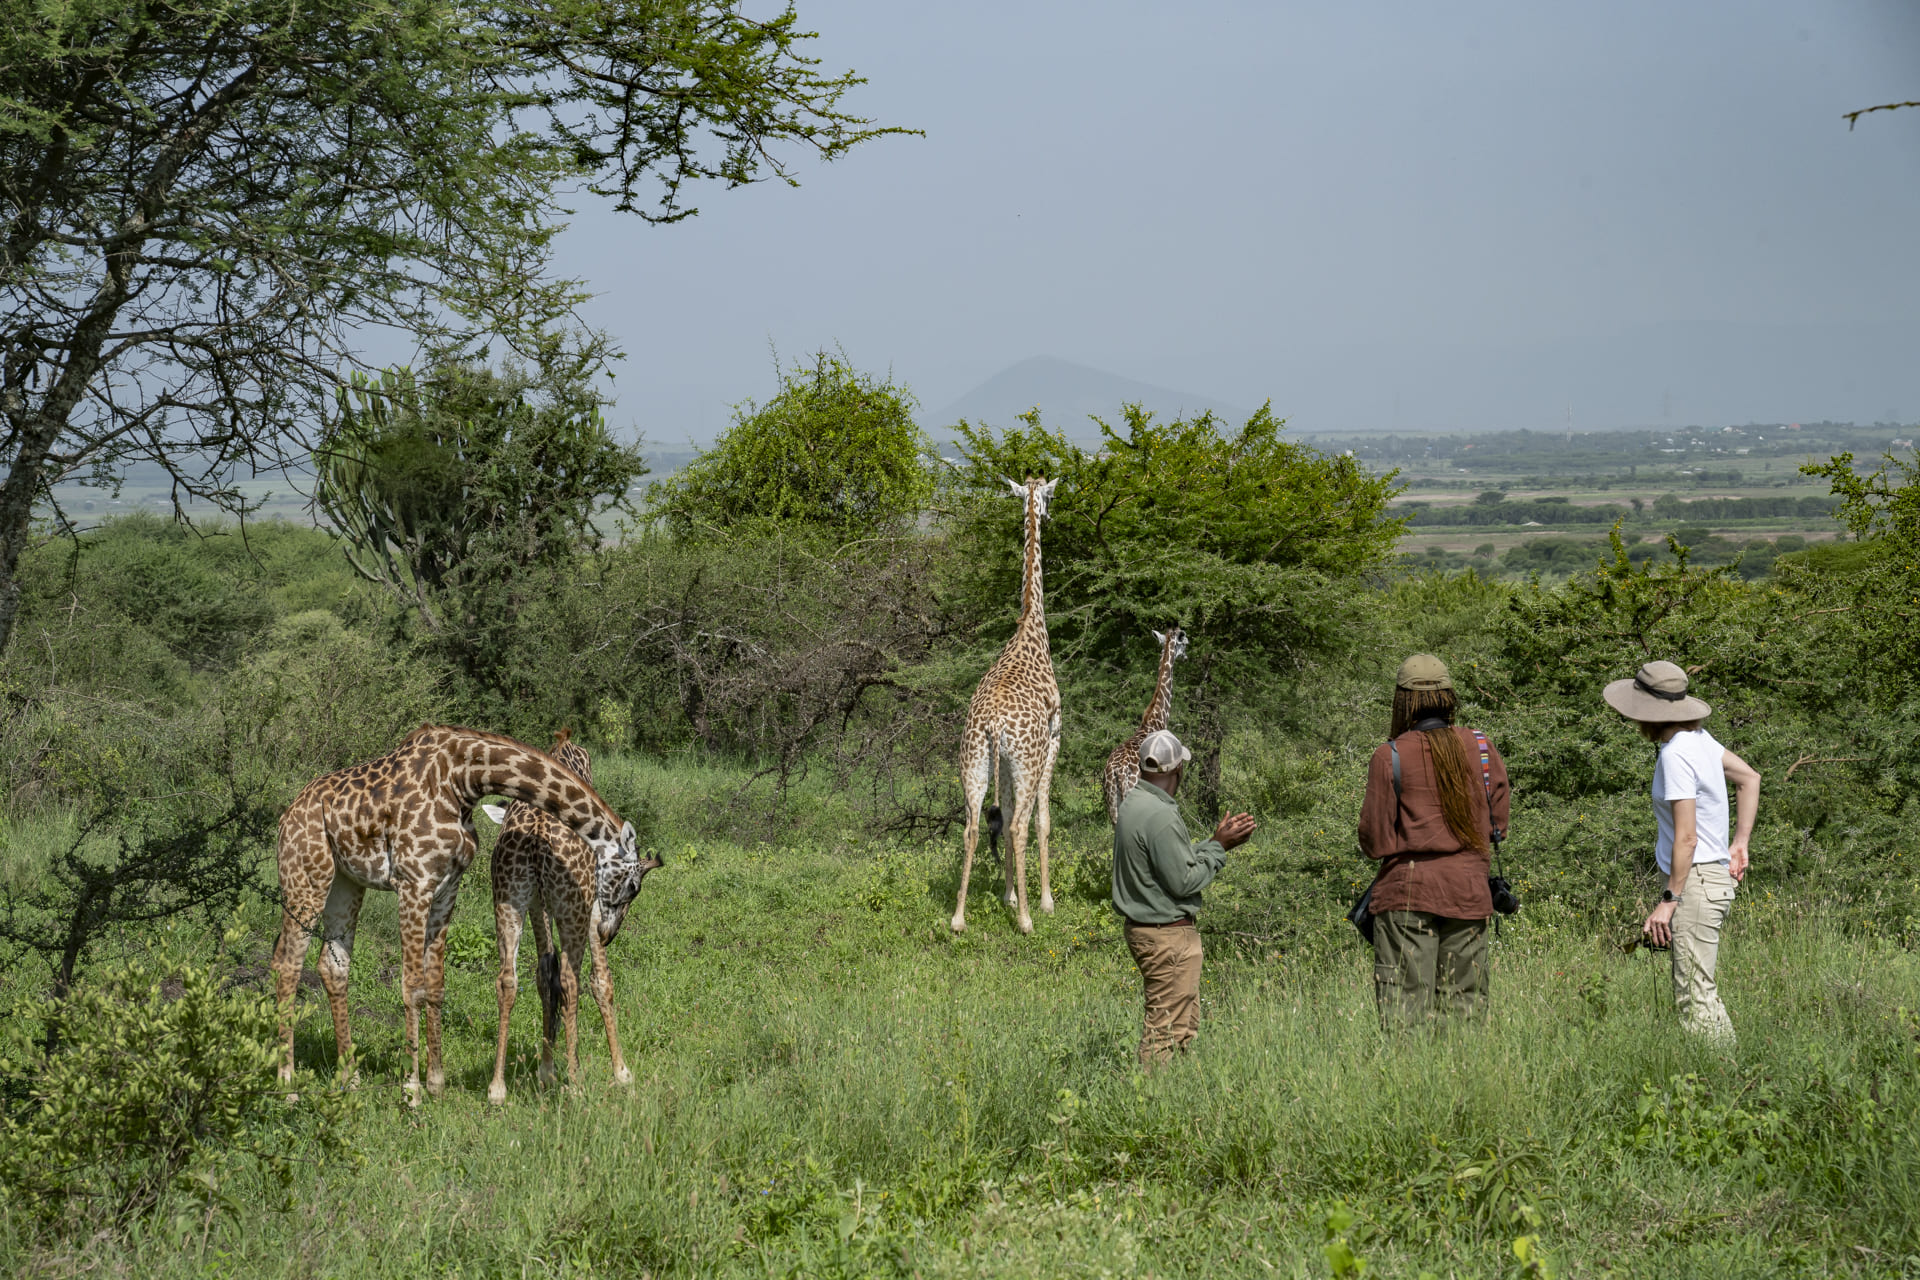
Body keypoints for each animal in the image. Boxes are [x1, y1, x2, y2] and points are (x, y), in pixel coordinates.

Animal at [271, 724, 644, 1102]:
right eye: (633, 887)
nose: (608, 934)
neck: (464, 779)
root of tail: (287, 815)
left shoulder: (446, 886)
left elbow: (435, 982)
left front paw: (436, 1082)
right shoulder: (414, 883)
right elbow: (411, 984)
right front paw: (412, 1090)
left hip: (346, 883)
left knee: (333, 966)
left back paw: (351, 1078)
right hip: (306, 875)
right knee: (287, 962)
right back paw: (288, 1085)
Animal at [478, 730, 662, 1105]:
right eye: (634, 887)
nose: (610, 934)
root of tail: (536, 836)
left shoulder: (538, 904)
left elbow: (542, 973)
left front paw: (546, 1070)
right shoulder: (589, 907)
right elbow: (600, 981)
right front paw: (622, 1073)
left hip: (508, 900)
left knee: (508, 979)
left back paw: (498, 1088)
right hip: (572, 908)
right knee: (570, 979)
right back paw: (576, 1082)